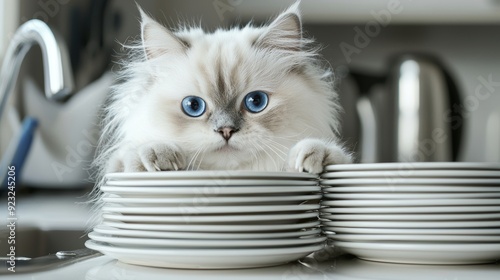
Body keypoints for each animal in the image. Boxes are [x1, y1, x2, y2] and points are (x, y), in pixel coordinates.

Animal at [94, 1, 352, 177]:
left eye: (256, 102)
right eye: (193, 106)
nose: (226, 130)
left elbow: (335, 157)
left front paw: (317, 157)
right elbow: (126, 160)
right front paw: (155, 156)